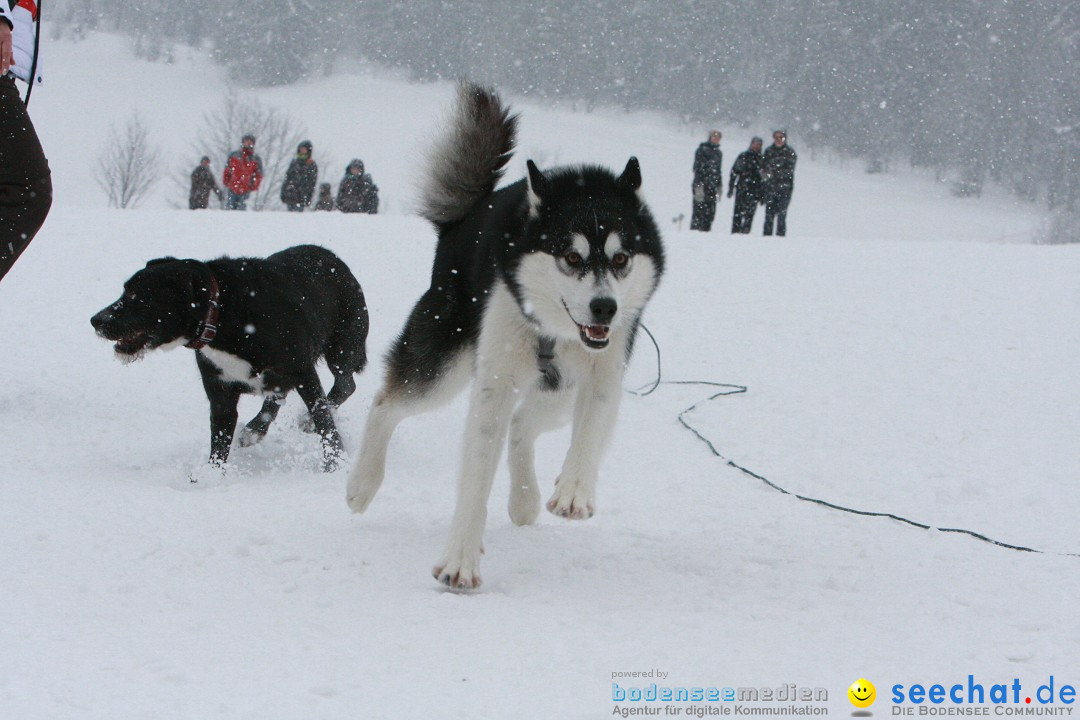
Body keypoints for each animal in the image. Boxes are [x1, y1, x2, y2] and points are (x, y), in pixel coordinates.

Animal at [349, 83, 660, 587]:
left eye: (620, 258)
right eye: (571, 257)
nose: (605, 307)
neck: (554, 329)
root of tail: (464, 218)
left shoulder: (603, 373)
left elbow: (589, 430)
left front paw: (574, 490)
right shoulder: (494, 381)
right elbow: (477, 472)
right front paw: (459, 558)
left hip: (558, 391)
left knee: (523, 424)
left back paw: (525, 498)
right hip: (445, 365)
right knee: (386, 404)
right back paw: (362, 484)